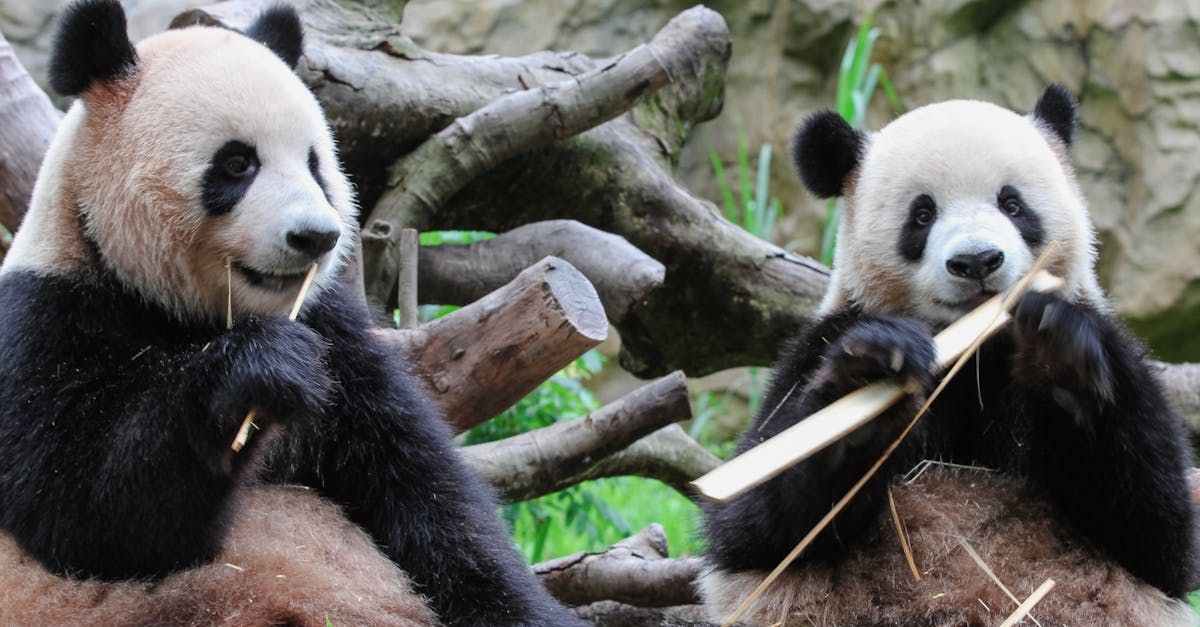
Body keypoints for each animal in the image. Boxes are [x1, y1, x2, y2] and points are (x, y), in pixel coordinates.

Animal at [0, 2, 582, 625]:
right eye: (237, 163)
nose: (316, 236)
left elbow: (425, 493)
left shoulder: (338, 338)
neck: (187, 311)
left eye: (314, 163)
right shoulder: (45, 320)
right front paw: (259, 372)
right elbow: (88, 521)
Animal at [700, 86, 1200, 626]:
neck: (976, 349)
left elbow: (1160, 533)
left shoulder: (1111, 346)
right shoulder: (821, 343)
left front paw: (1062, 361)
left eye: (1012, 203)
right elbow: (752, 527)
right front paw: (871, 377)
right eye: (922, 215)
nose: (977, 261)